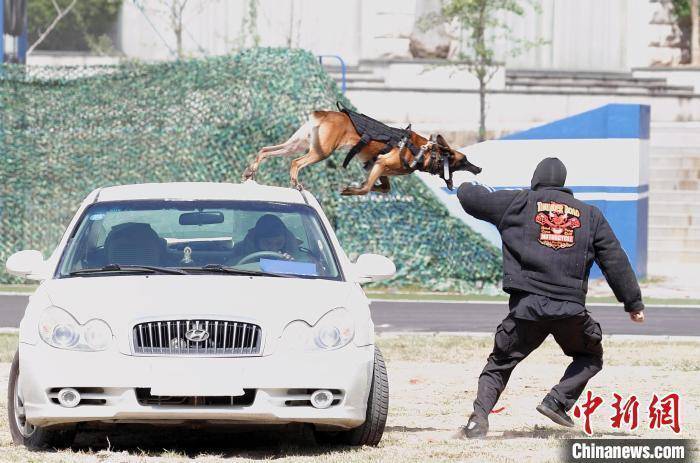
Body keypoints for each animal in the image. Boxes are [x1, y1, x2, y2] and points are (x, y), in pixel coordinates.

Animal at [242, 108, 482, 196]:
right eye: (465, 160)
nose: (479, 168)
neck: (425, 152)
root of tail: (324, 113)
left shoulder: (379, 168)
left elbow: (381, 188)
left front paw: (357, 186)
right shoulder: (382, 164)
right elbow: (366, 189)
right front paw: (351, 190)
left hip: (296, 144)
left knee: (265, 150)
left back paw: (250, 171)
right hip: (321, 152)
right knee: (295, 163)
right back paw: (295, 182)